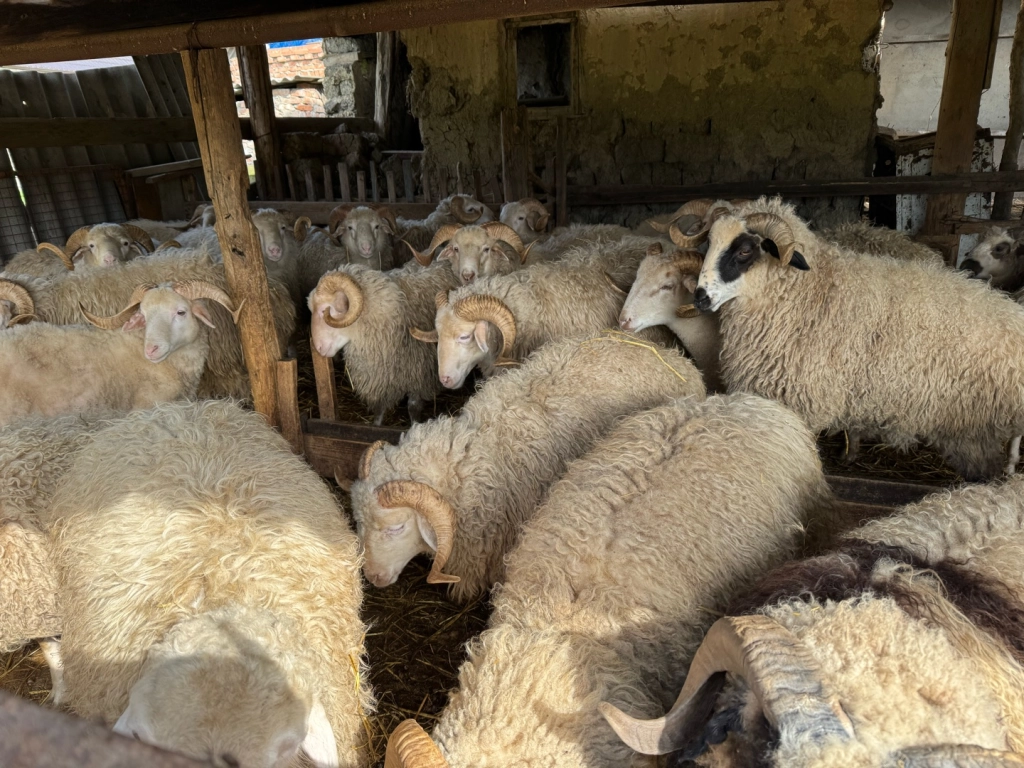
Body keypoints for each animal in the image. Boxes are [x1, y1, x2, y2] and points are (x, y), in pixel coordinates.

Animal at [309, 262, 460, 424]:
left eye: (324, 310)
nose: (318, 347)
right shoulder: (381, 380)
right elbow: (379, 410)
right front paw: (376, 424)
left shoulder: (420, 377)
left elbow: (413, 408)